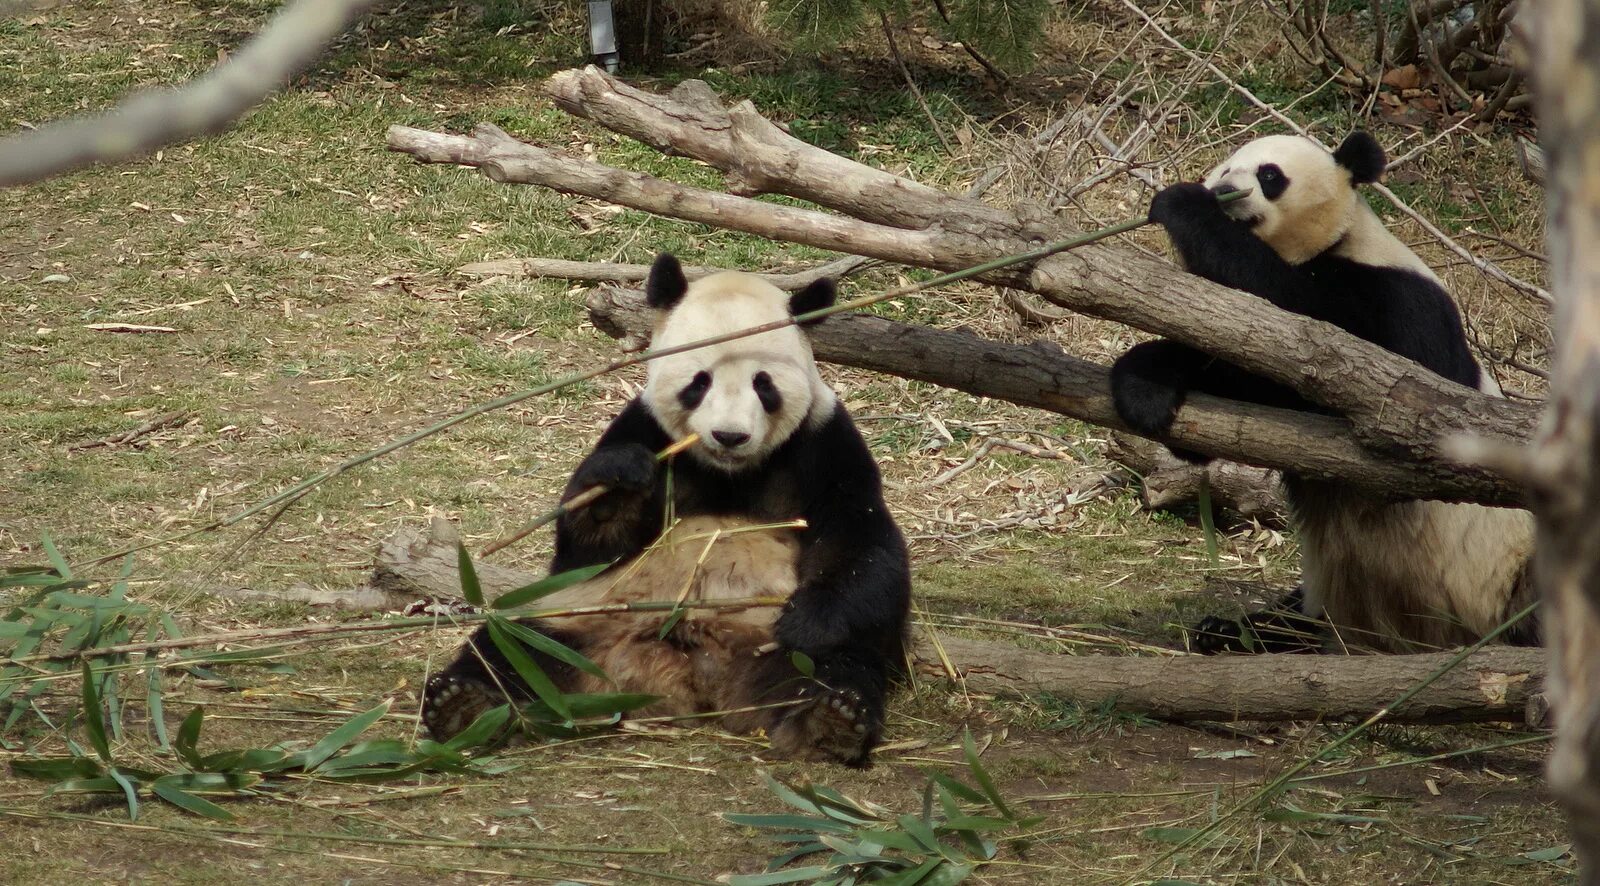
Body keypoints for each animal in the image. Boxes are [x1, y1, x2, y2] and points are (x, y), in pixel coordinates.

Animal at [419, 251, 915, 761]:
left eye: (764, 384)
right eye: (700, 382)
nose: (729, 435)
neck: (730, 473)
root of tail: (683, 676)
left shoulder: (824, 442)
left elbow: (859, 539)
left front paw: (808, 622)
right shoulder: (644, 427)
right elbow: (588, 550)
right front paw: (619, 484)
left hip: (769, 640)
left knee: (837, 664)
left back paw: (829, 722)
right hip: (574, 621)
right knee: (513, 648)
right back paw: (465, 705)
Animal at [1113, 132, 1536, 655]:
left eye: (1269, 175)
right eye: (1225, 168)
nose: (1224, 191)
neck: (1330, 246)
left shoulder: (1402, 299)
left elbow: (1324, 337)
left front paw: (1185, 206)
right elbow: (1243, 374)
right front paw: (1146, 387)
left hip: (1504, 575)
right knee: (1296, 616)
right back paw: (1234, 632)